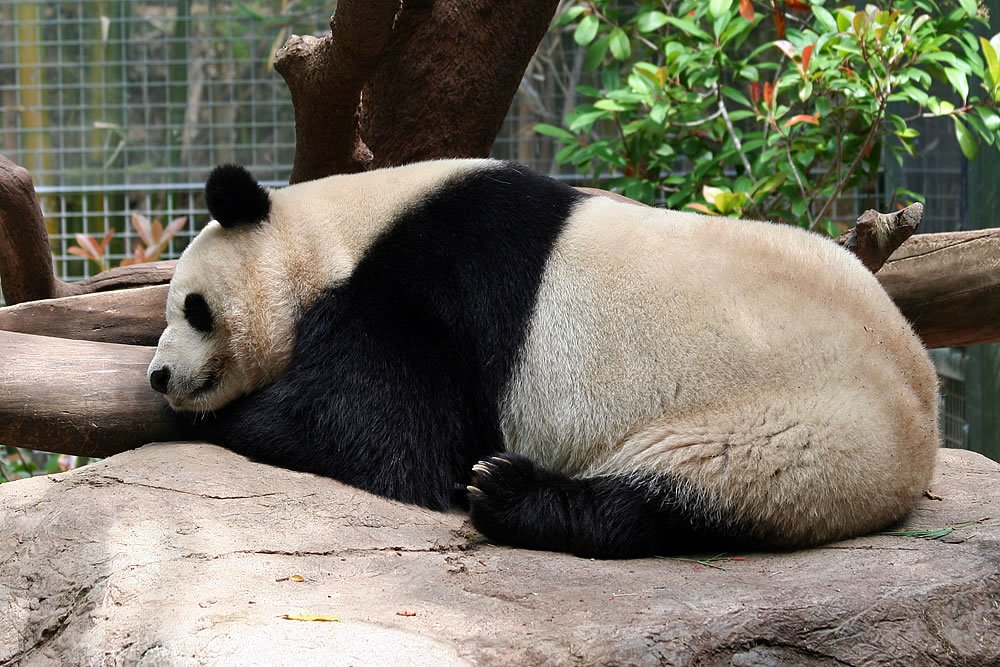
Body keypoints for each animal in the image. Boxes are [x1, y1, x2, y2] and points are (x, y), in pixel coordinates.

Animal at [148, 159, 940, 559]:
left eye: (193, 308)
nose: (158, 375)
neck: (338, 229)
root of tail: (925, 417)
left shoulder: (429, 288)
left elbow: (378, 434)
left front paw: (233, 420)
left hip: (792, 422)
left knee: (679, 493)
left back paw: (508, 492)